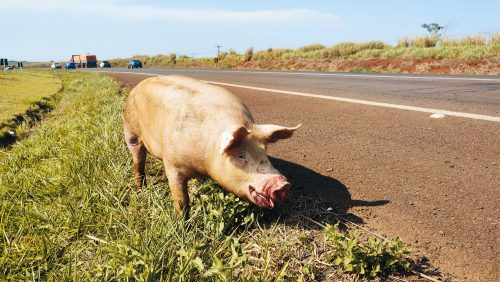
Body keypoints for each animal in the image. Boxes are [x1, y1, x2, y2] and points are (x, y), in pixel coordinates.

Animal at [124, 75, 300, 212]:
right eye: (241, 156)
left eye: (265, 152)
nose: (282, 184)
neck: (204, 162)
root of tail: (138, 86)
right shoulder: (173, 164)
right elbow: (181, 200)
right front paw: (182, 222)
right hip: (130, 131)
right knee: (138, 161)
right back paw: (140, 189)